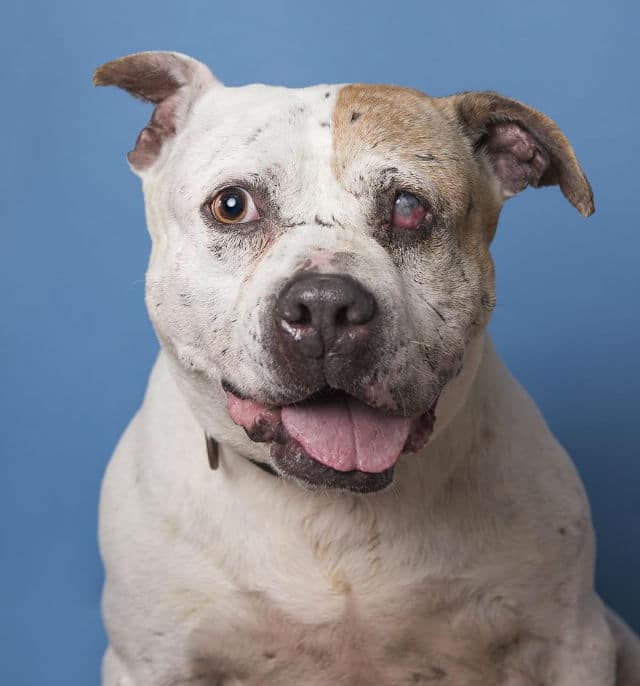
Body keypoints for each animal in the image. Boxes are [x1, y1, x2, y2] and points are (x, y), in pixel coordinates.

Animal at [92, 51, 636, 684]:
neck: (332, 509)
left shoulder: (568, 644)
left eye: (408, 208)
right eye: (232, 206)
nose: (326, 307)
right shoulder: (152, 661)